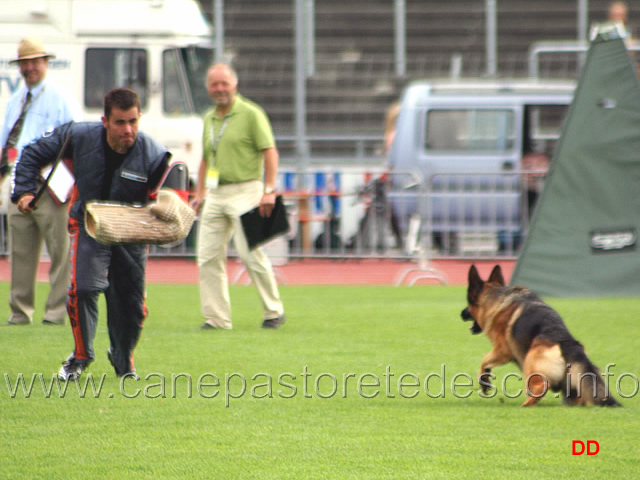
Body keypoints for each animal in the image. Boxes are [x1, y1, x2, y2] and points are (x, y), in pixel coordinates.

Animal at [460, 264, 620, 406]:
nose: (462, 313)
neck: (496, 299)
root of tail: (566, 342)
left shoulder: (502, 351)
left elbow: (484, 360)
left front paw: (484, 380)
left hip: (530, 363)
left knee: (542, 386)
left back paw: (525, 405)